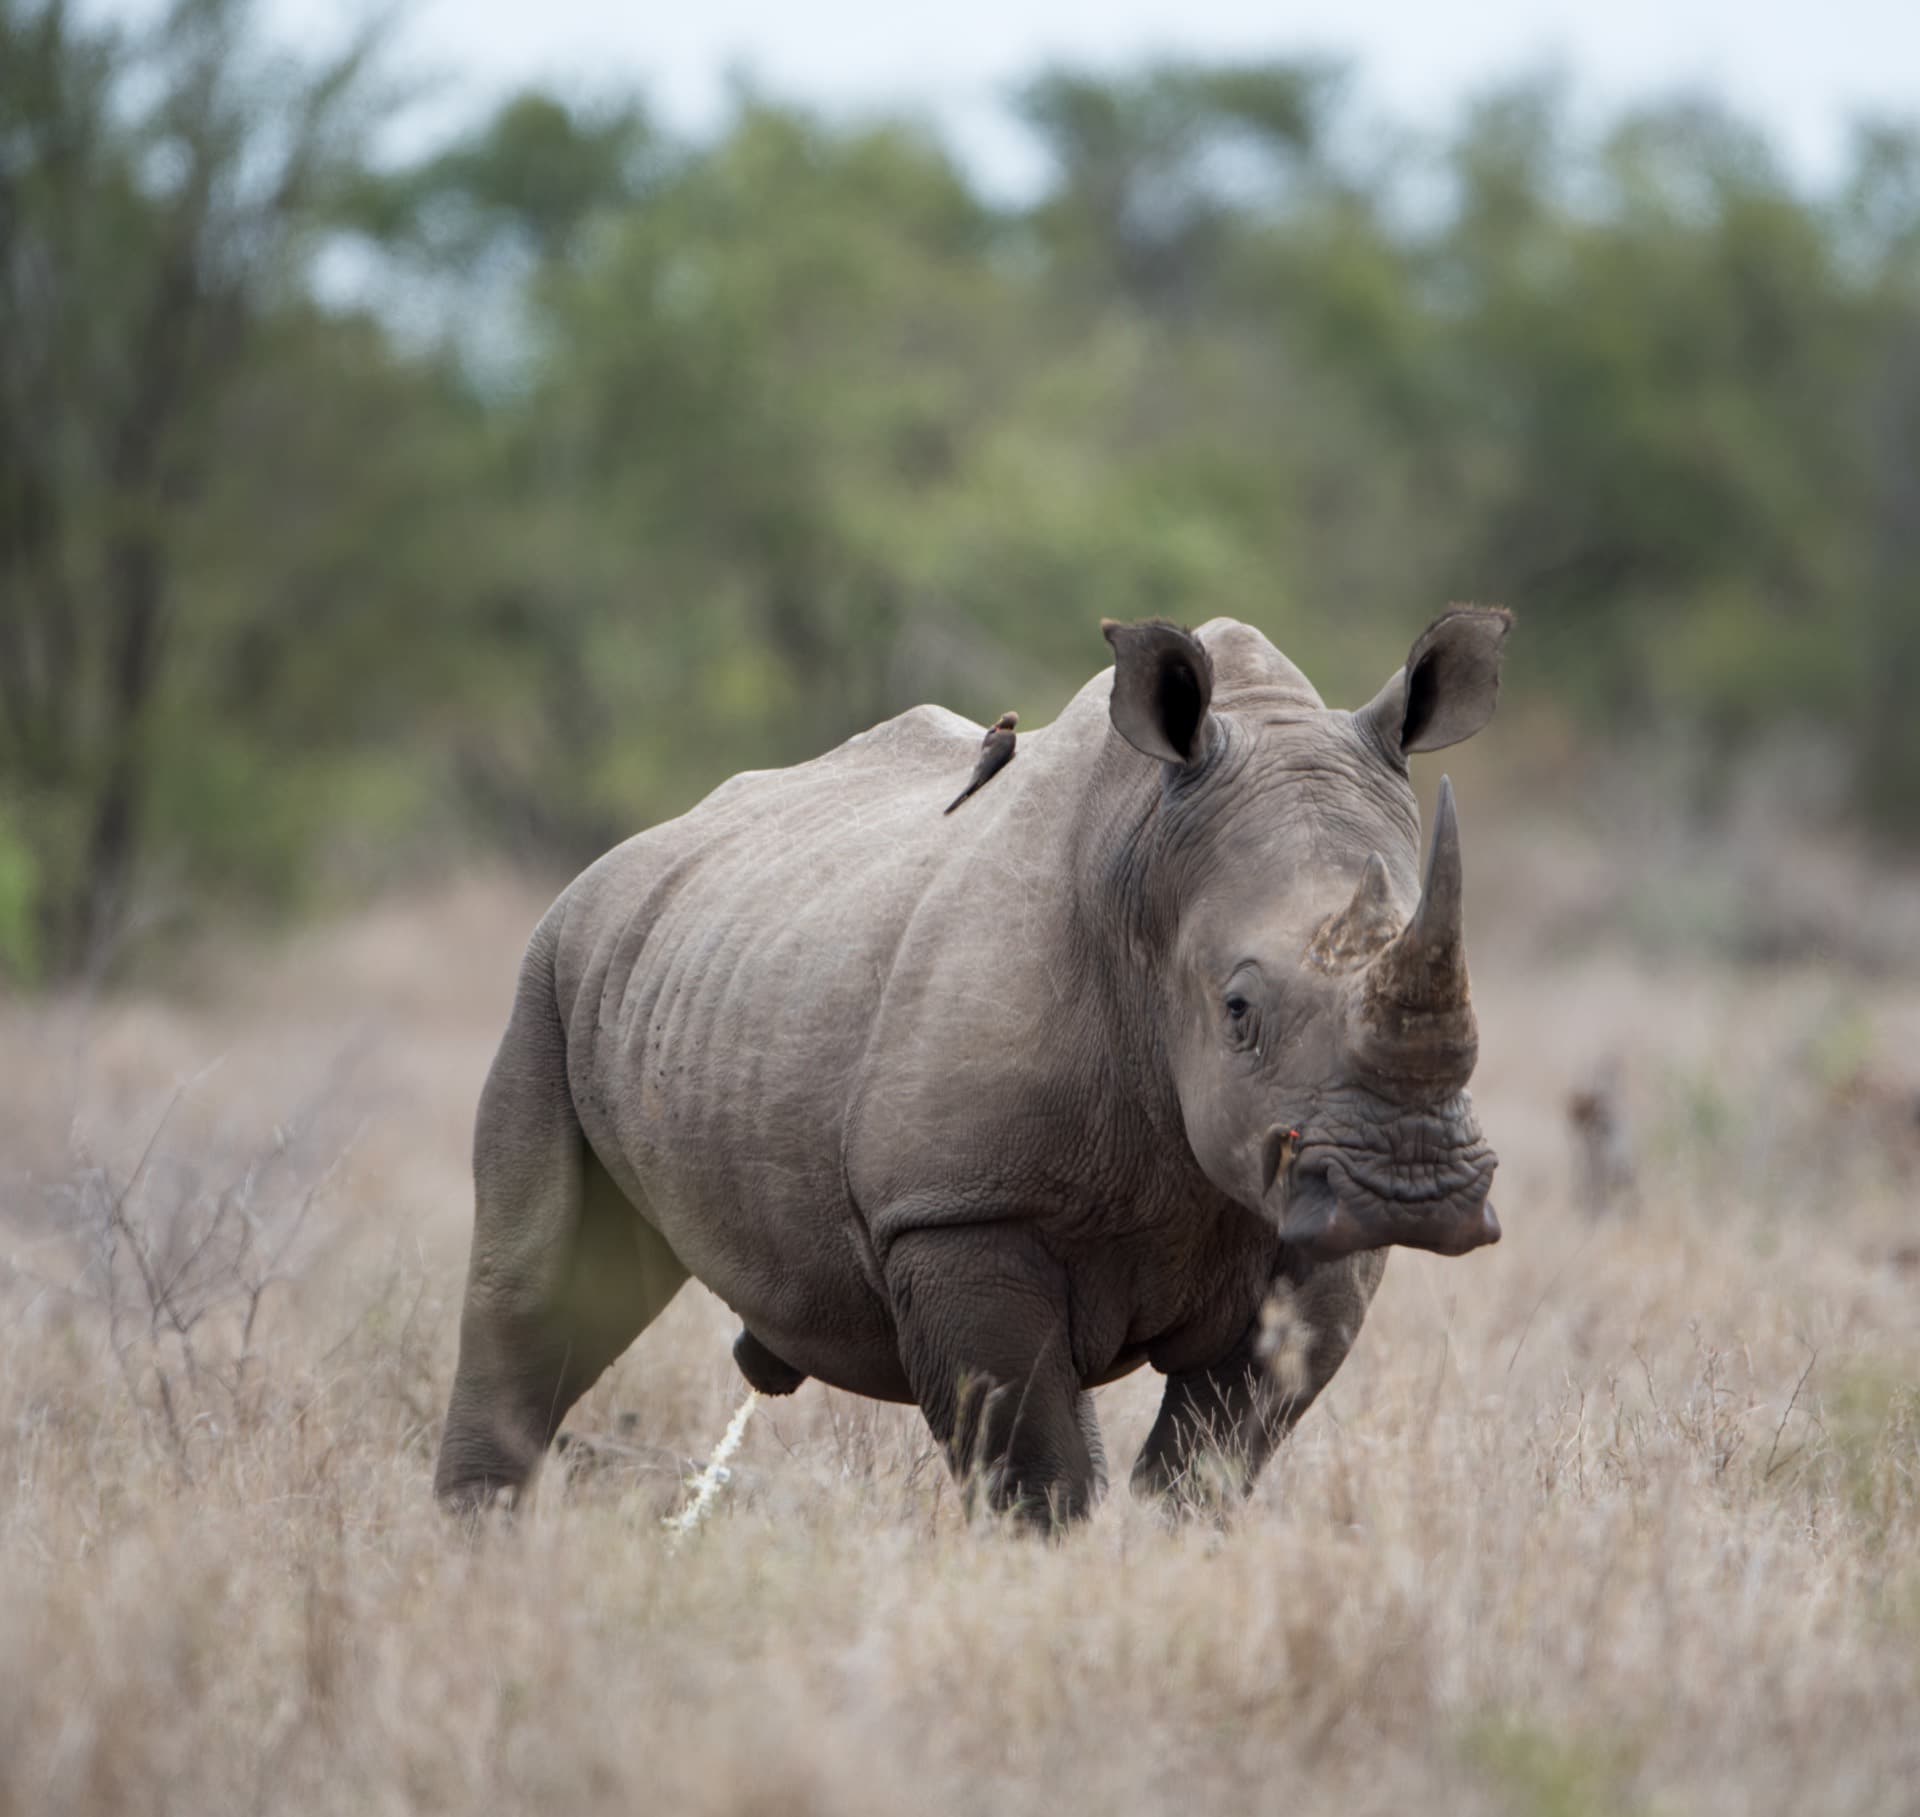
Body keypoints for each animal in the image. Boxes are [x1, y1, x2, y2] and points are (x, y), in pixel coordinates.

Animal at [435, 609, 1511, 1526]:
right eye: (1238, 1009)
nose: (1412, 1188)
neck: (1143, 864)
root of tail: (620, 859)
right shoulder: (956, 1211)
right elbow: (1032, 1462)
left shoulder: (1308, 1221)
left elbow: (1207, 1459)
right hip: (552, 966)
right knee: (535, 1287)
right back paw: (476, 1560)